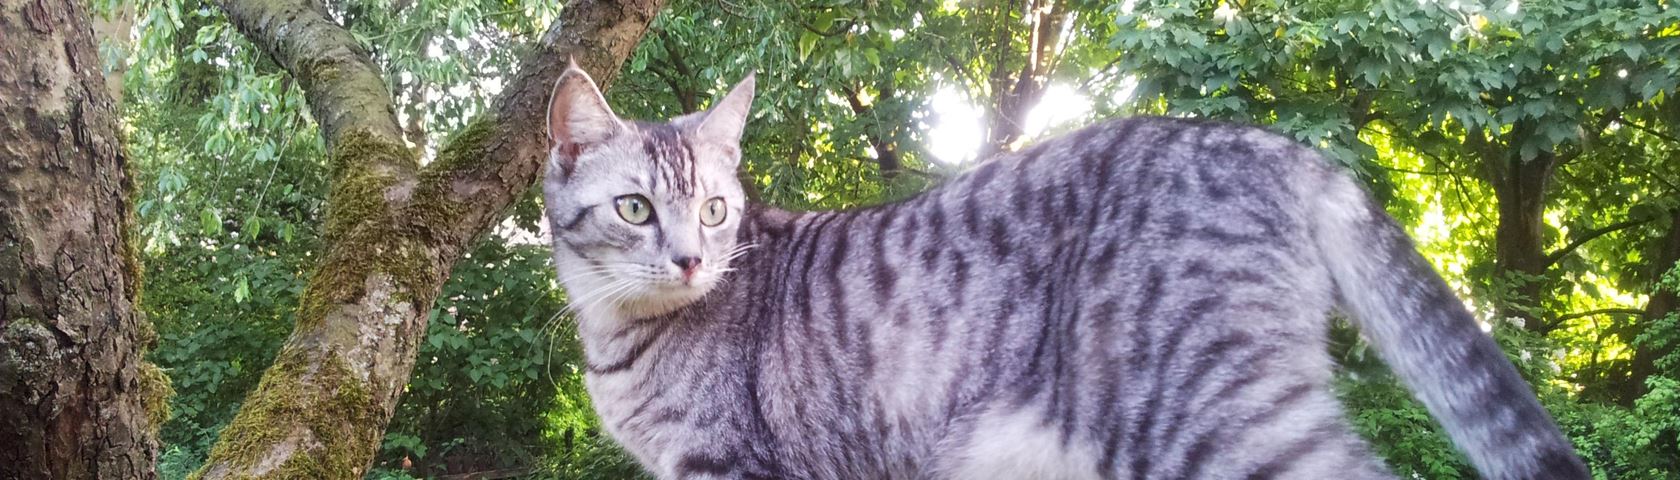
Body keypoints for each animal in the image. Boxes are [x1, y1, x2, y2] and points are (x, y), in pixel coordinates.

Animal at [537, 61, 1585, 476]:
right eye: (637, 208)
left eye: (715, 210)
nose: (690, 258)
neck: (614, 337)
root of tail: (1267, 143)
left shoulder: (729, 462)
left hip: (1205, 410)